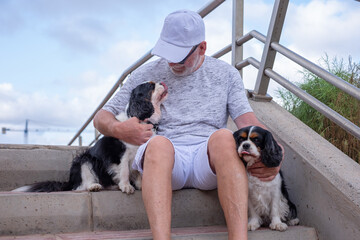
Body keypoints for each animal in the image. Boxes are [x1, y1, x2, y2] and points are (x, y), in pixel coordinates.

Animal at [12, 81, 167, 194]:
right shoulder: (120, 154)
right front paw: (126, 186)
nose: (162, 82)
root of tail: (70, 182)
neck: (142, 120)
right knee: (81, 185)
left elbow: (139, 172)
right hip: (84, 160)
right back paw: (94, 186)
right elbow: (124, 170)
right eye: (151, 86)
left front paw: (140, 185)